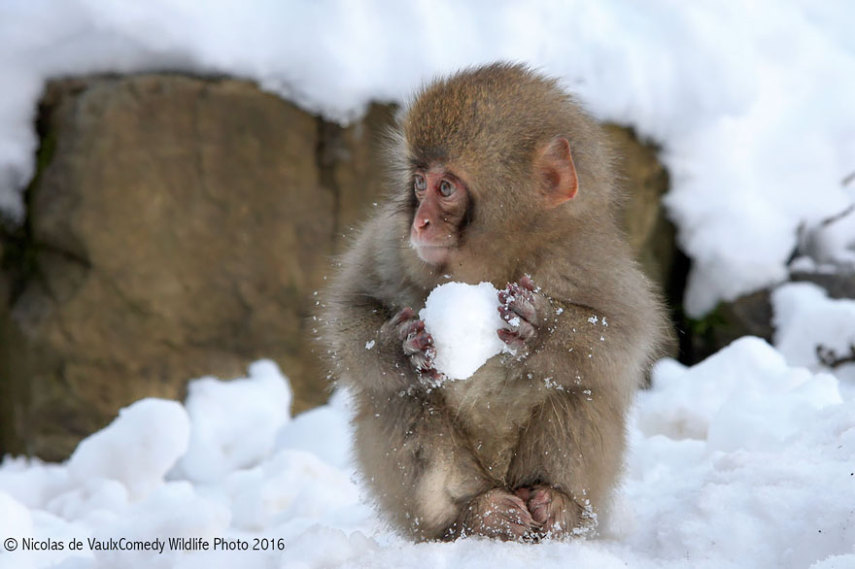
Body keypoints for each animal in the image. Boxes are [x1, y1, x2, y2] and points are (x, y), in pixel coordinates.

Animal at [320, 63, 668, 540]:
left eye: (446, 188)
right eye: (419, 183)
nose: (419, 223)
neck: (491, 262)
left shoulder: (587, 255)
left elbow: (625, 330)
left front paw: (541, 330)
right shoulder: (389, 242)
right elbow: (349, 315)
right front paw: (401, 348)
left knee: (577, 383)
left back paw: (556, 503)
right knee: (402, 395)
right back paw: (473, 513)